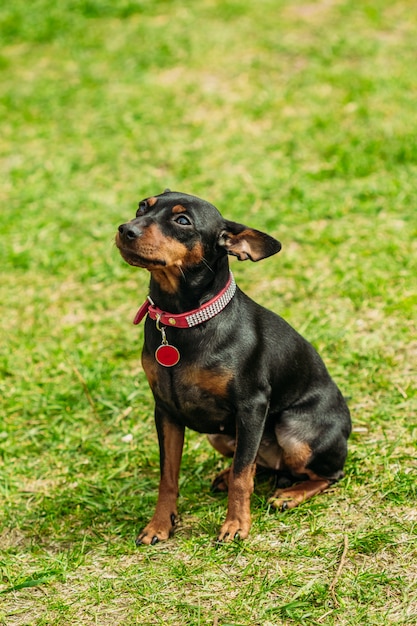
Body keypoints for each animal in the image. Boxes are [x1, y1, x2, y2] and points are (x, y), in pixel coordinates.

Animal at [114, 189, 352, 540]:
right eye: (143, 206)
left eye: (182, 221)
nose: (125, 230)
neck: (184, 320)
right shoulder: (166, 411)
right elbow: (168, 476)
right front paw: (159, 524)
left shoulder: (252, 406)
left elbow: (243, 475)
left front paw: (236, 524)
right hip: (222, 436)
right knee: (256, 463)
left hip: (295, 433)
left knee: (327, 474)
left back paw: (290, 494)